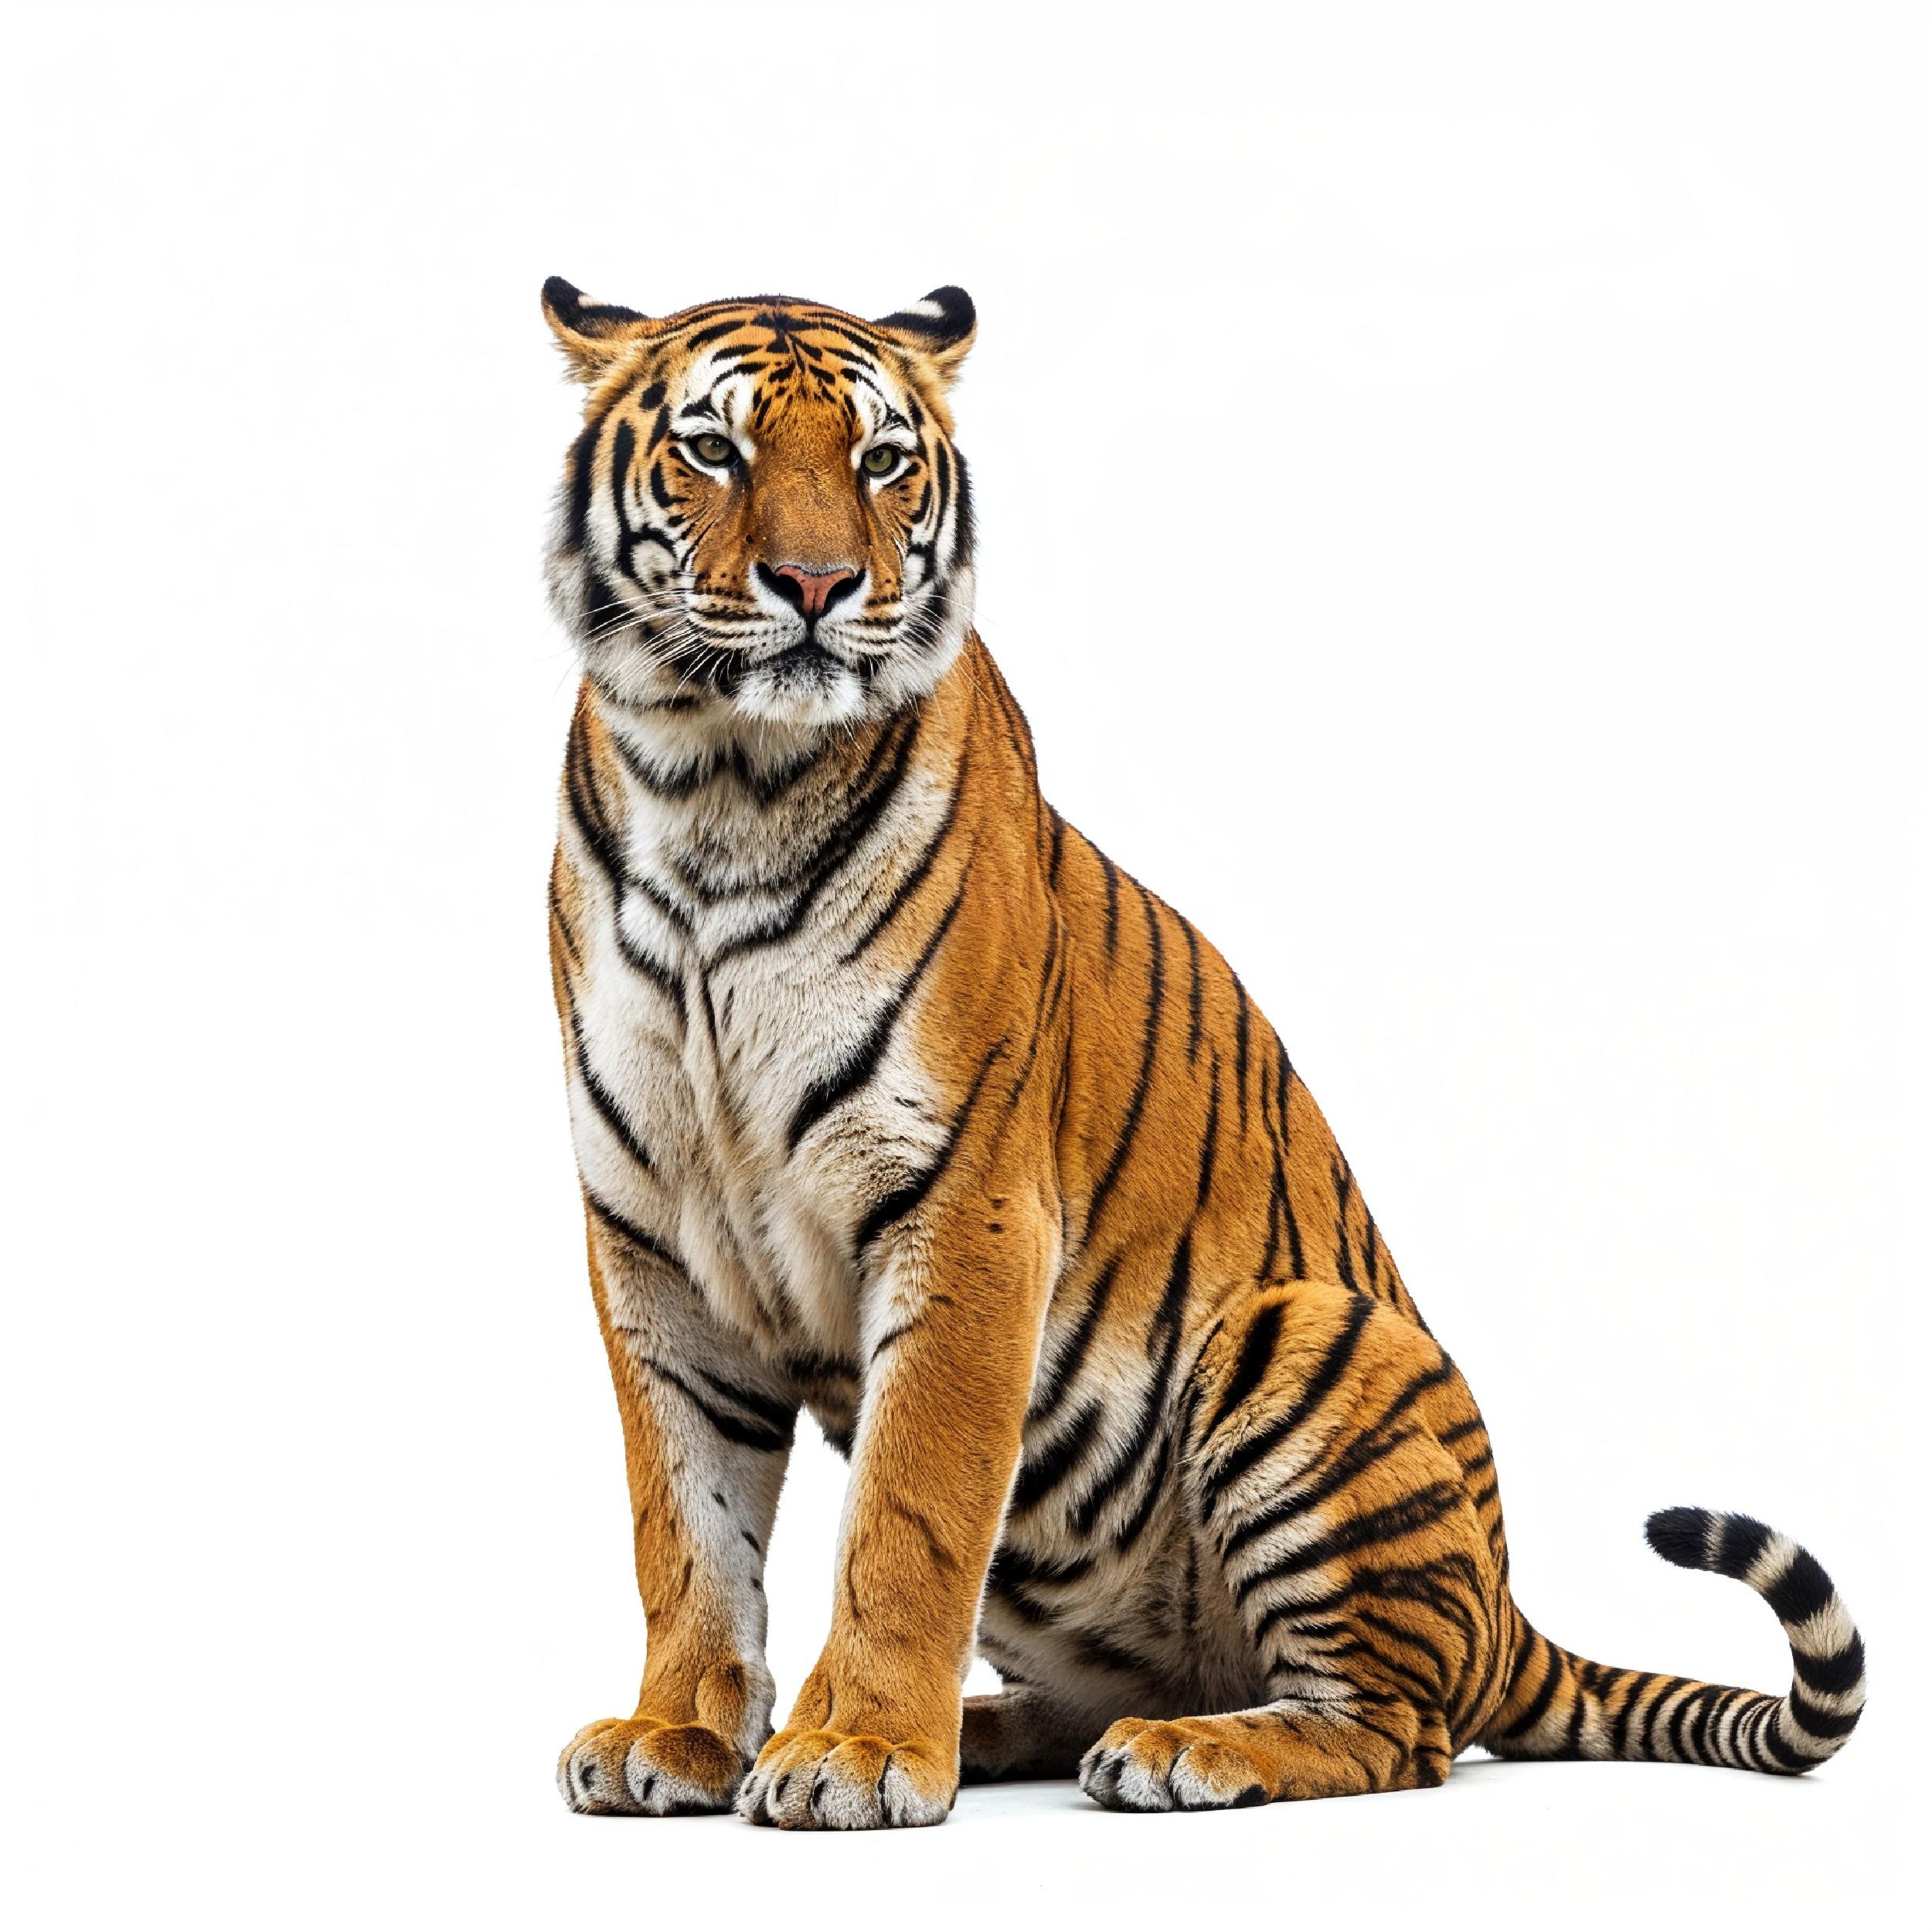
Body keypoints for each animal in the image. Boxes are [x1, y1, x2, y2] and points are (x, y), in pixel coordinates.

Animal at [539, 276, 1866, 1828]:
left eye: (880, 463)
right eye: (714, 450)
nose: (816, 585)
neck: (720, 788)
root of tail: (1505, 1606)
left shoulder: (965, 1207)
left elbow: (909, 1517)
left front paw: (855, 1751)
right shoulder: (653, 1242)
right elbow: (682, 1523)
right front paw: (677, 1732)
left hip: (1297, 1340)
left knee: (1400, 1730)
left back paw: (1184, 1752)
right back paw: (1012, 1727)